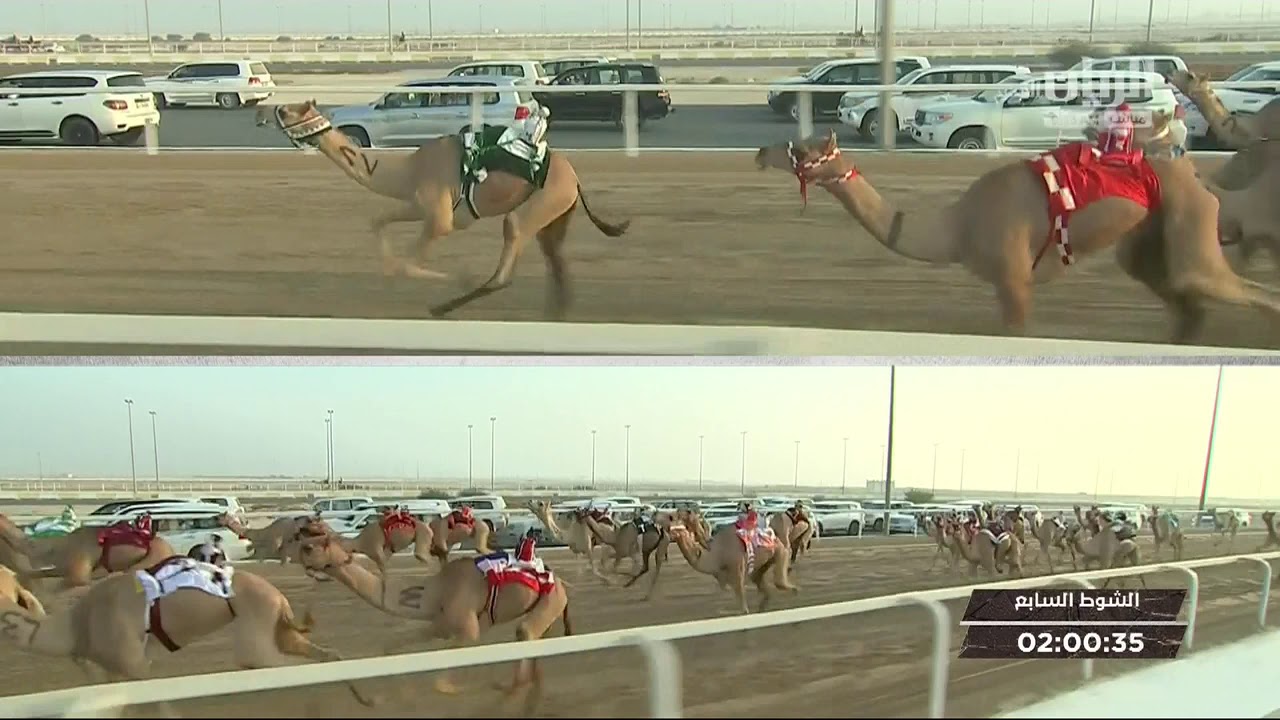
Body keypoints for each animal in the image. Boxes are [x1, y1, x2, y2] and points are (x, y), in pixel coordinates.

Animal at [0, 556, 374, 715]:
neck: (79, 625)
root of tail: (278, 595)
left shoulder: (137, 666)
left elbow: (163, 705)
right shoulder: (113, 674)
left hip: (255, 636)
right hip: (276, 629)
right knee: (326, 656)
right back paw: (365, 699)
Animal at [256, 101, 630, 320]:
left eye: (288, 110)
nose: (264, 113)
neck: (408, 169)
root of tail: (575, 179)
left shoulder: (440, 217)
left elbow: (411, 263)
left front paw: (459, 276)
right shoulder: (417, 204)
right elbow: (378, 221)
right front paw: (387, 271)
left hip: (539, 205)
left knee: (508, 258)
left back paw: (445, 306)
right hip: (556, 214)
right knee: (555, 260)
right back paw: (555, 313)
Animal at [295, 531, 570, 713]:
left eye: (309, 547)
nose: (295, 549)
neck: (434, 592)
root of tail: (559, 582)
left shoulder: (468, 630)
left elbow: (440, 683)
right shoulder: (439, 626)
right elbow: (391, 646)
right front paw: (394, 698)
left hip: (550, 600)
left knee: (524, 643)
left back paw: (500, 698)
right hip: (546, 612)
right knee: (534, 660)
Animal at [754, 115, 1280, 344]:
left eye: (803, 149)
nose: (761, 152)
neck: (957, 226)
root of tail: (1203, 179)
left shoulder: (1013, 279)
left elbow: (1017, 330)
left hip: (1191, 226)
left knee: (1219, 285)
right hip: (1151, 237)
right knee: (1185, 303)